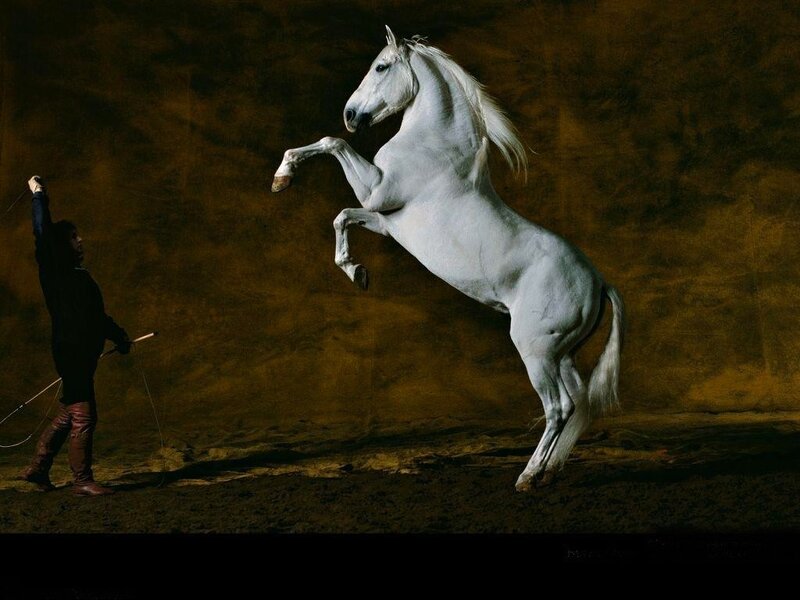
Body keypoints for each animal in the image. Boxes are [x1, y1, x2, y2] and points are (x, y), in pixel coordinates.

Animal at [272, 26, 625, 491]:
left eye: (381, 66)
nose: (350, 114)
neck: (434, 146)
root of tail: (599, 282)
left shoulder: (377, 192)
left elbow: (334, 145)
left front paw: (283, 175)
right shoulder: (384, 220)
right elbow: (342, 217)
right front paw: (356, 272)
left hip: (535, 351)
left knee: (558, 408)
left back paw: (528, 476)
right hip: (560, 354)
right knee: (576, 405)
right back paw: (548, 473)